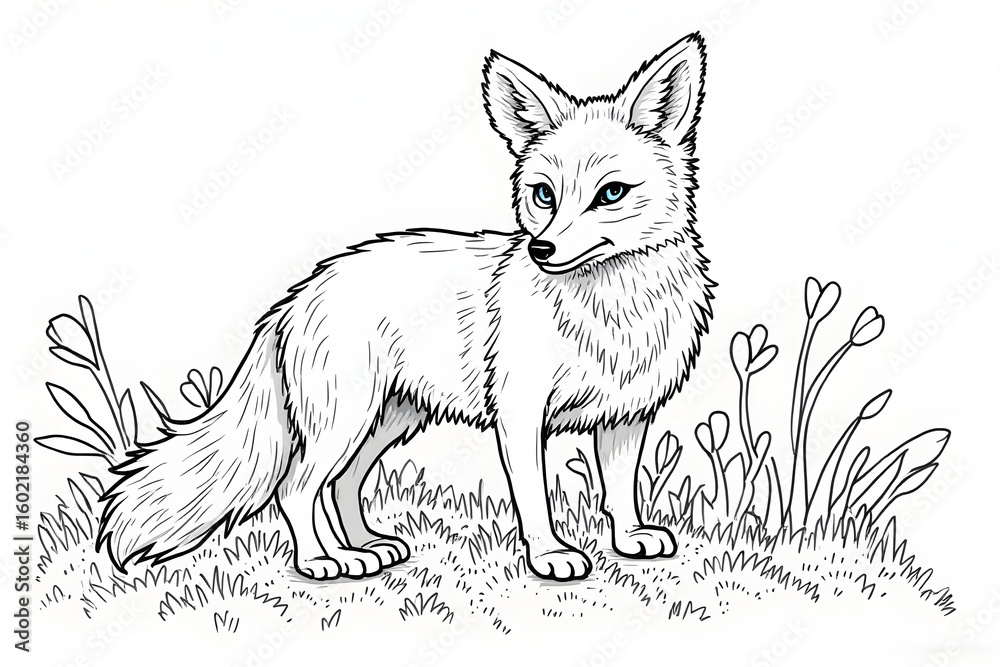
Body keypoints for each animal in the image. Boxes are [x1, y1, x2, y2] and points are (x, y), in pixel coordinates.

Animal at [97, 32, 714, 582]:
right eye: (545, 195)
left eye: (610, 194)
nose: (541, 250)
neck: (614, 309)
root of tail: (298, 294)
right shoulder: (520, 414)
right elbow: (535, 500)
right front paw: (549, 557)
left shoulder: (628, 414)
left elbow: (620, 490)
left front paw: (630, 539)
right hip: (346, 419)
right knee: (296, 488)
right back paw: (323, 562)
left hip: (388, 420)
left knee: (343, 484)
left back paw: (366, 548)